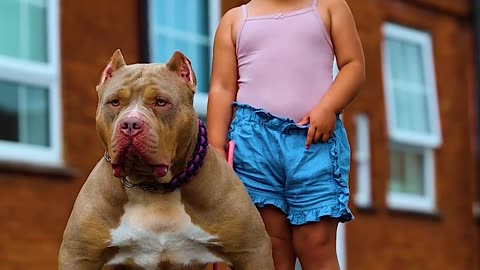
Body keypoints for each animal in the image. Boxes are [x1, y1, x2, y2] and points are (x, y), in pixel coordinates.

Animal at [58, 49, 272, 268]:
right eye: (114, 102)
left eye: (161, 102)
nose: (130, 124)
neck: (152, 188)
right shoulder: (79, 256)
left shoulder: (252, 252)